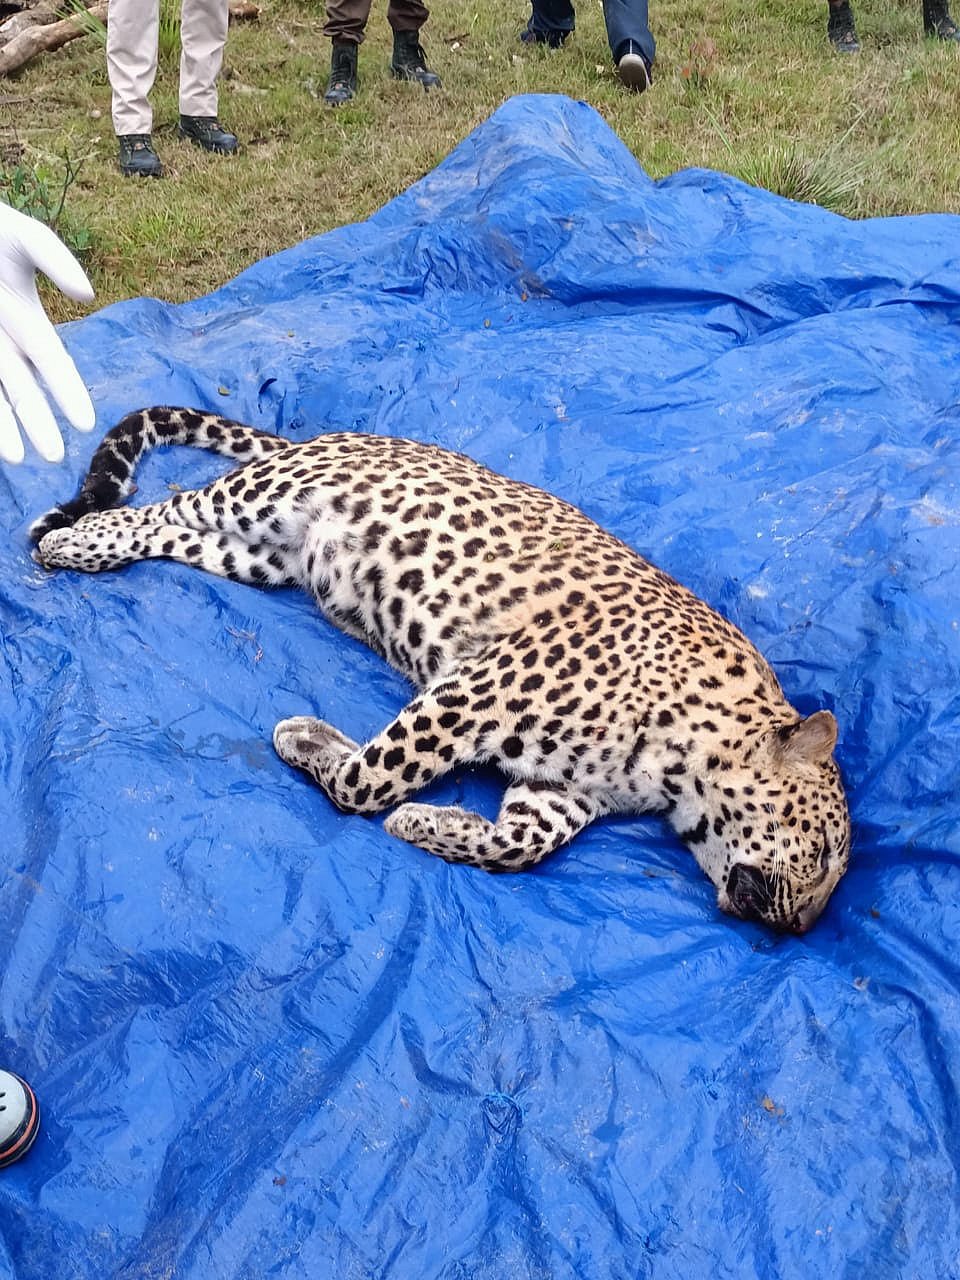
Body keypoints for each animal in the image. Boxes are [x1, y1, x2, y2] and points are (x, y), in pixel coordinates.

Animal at [31, 406, 851, 933]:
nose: (800, 930)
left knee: (172, 532)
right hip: (264, 497)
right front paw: (309, 741)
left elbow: (520, 845)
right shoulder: (480, 688)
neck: (680, 771)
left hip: (262, 555)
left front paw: (429, 822)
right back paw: (70, 541)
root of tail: (324, 435)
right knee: (166, 506)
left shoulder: (559, 792)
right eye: (817, 856)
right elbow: (369, 780)